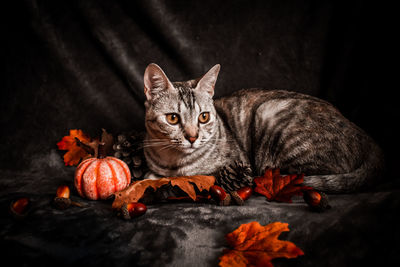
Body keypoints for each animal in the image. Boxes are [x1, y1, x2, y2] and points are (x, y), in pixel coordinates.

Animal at [143, 63, 384, 193]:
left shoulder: (233, 163)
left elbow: (194, 175)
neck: (174, 162)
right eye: (173, 118)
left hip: (269, 112)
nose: (192, 137)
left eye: (203, 117)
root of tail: (364, 136)